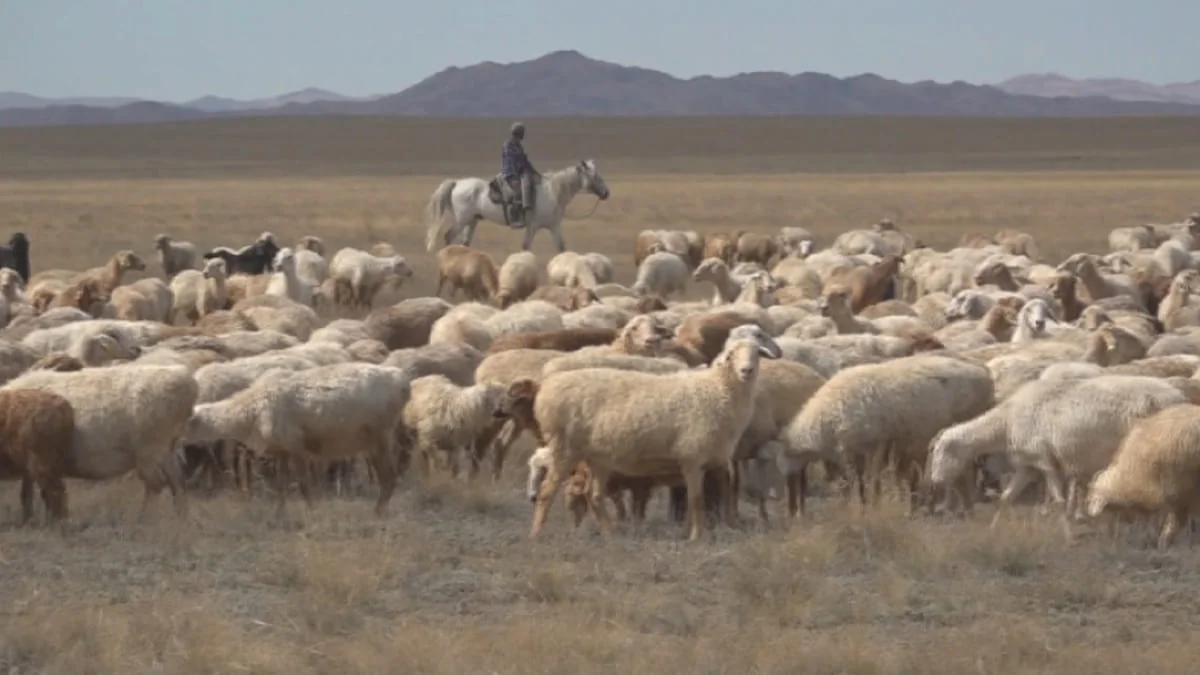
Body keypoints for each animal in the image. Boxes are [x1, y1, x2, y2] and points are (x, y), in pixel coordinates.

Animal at [178, 362, 412, 514]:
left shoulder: (297, 446)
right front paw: (280, 513)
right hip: (373, 441)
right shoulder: (282, 451)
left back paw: (378, 512)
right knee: (388, 476)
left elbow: (303, 483)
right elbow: (281, 483)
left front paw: (311, 511)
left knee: (390, 477)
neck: (249, 410)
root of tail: (401, 379)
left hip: (380, 437)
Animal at [422, 158, 609, 252]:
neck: (553, 192)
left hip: (472, 221)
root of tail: (457, 183)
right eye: (595, 176)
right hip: (462, 220)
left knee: (464, 243)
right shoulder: (533, 226)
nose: (607, 193)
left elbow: (561, 247)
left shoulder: (553, 226)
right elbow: (526, 247)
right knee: (448, 237)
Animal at [530, 324, 782, 538]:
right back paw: (537, 535)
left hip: (597, 456)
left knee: (594, 495)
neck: (719, 389)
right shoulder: (692, 458)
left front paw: (687, 534)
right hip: (564, 447)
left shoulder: (708, 460)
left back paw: (611, 535)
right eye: (731, 354)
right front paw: (697, 537)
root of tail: (546, 390)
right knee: (547, 491)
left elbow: (692, 500)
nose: (746, 370)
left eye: (756, 353)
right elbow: (696, 500)